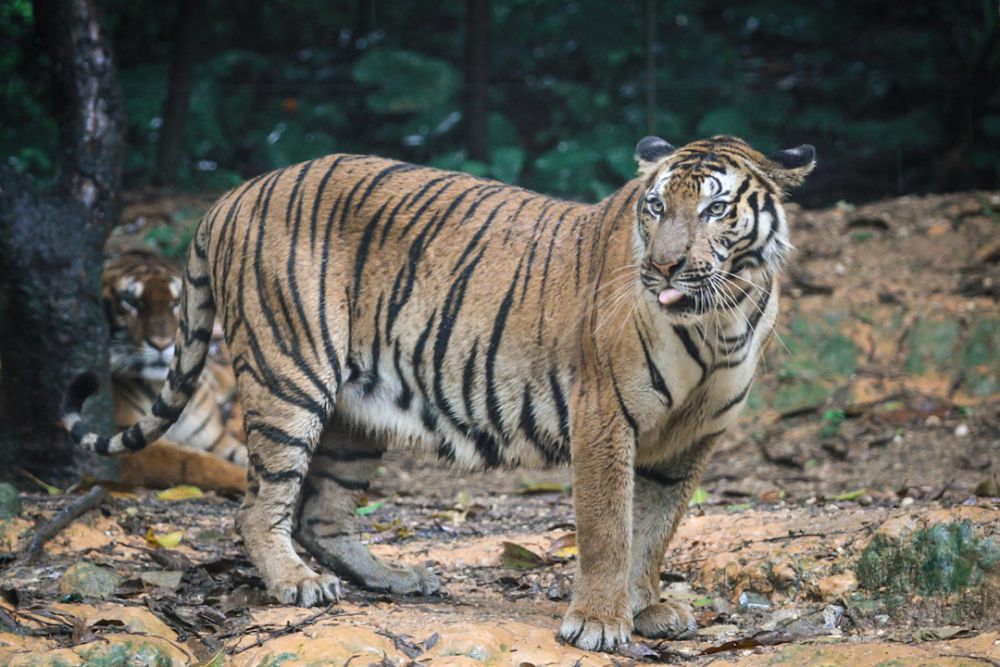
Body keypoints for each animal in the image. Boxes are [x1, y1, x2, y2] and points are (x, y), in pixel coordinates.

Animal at [104, 250, 248, 490]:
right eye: (130, 301)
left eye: (177, 303)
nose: (162, 344)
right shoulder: (124, 438)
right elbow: (193, 462)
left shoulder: (212, 439)